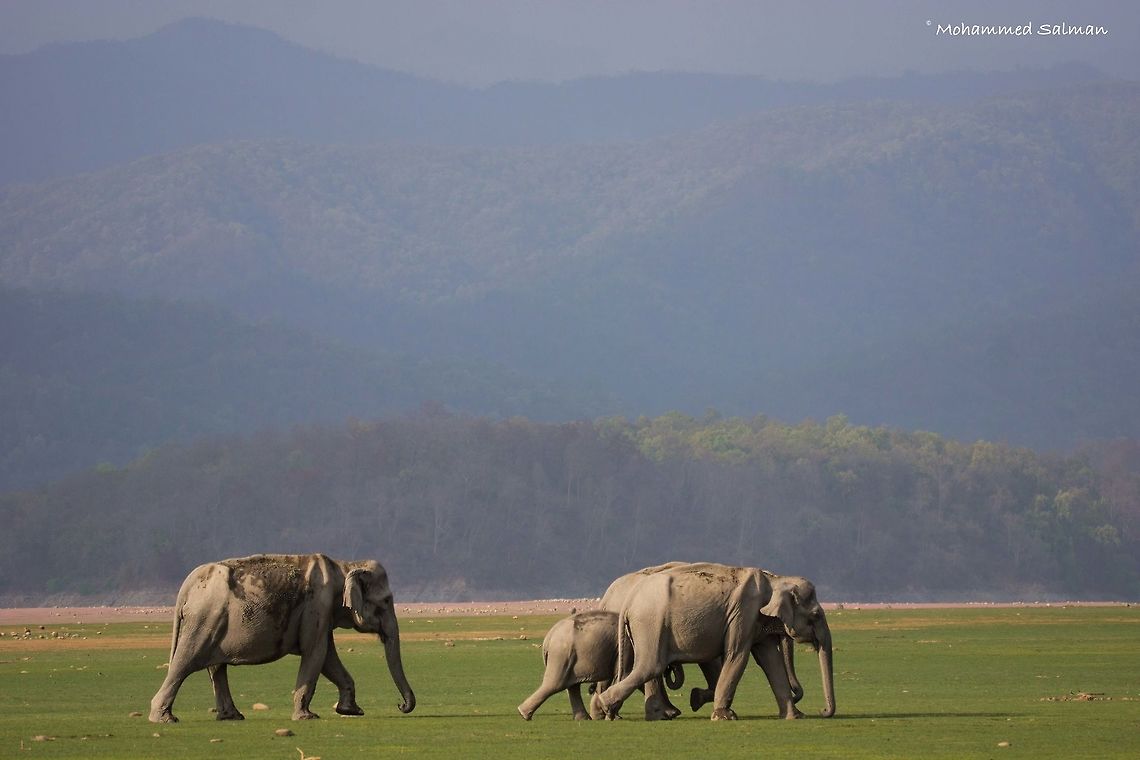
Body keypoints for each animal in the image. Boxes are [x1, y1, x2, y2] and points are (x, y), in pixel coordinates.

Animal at [149, 553, 416, 723]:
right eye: (387, 601)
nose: (400, 706)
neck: (345, 565)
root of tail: (187, 585)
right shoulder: (317, 606)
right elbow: (316, 654)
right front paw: (307, 717)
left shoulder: (321, 614)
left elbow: (328, 657)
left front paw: (352, 711)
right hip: (204, 618)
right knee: (185, 661)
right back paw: (164, 719)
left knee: (216, 667)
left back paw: (232, 717)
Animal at [596, 562, 835, 721]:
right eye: (815, 615)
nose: (822, 711)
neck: (775, 579)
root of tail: (628, 601)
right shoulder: (743, 613)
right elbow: (736, 655)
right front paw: (724, 715)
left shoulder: (755, 621)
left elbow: (769, 659)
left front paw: (795, 716)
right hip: (650, 623)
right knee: (650, 666)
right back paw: (606, 706)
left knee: (648, 667)